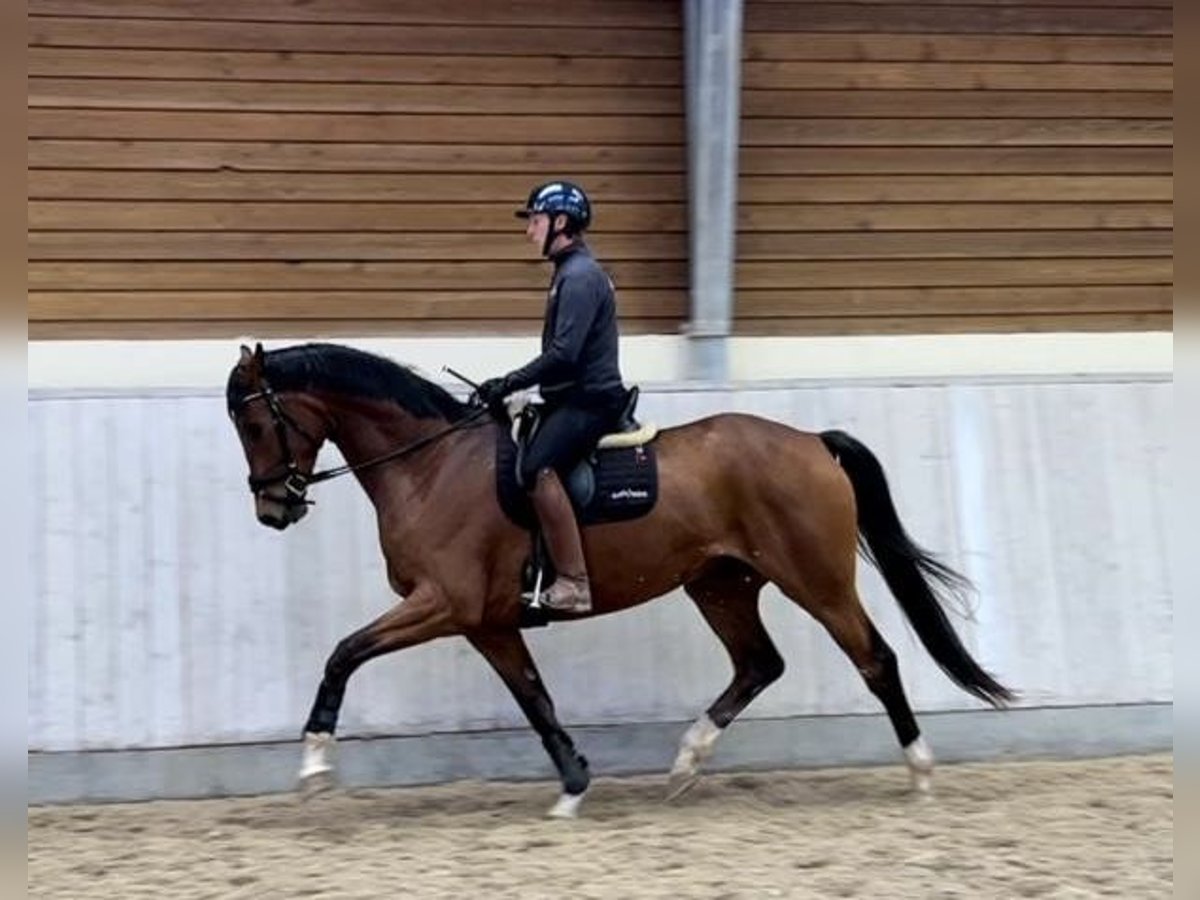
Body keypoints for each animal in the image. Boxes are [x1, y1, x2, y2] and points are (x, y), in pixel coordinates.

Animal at [226, 343, 1012, 816]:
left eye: (256, 425)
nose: (272, 508)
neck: (431, 466)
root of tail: (813, 443)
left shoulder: (444, 604)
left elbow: (344, 653)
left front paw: (314, 763)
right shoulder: (488, 621)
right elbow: (534, 699)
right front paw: (574, 787)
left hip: (814, 581)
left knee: (875, 658)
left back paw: (920, 771)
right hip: (720, 585)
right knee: (760, 663)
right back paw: (687, 761)